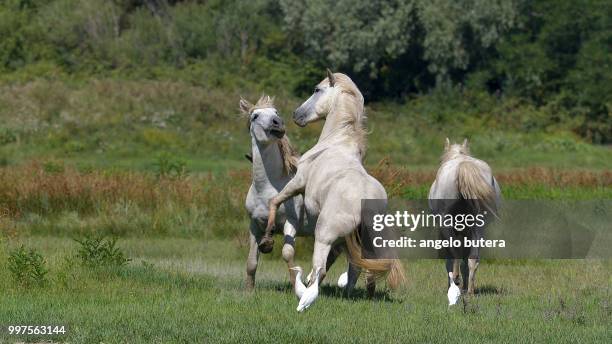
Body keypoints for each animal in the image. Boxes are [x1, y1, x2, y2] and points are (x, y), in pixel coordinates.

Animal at [243, 95, 346, 292]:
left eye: (275, 112)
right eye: (255, 116)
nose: (277, 123)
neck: (267, 188)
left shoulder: (290, 224)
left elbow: (287, 254)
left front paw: (296, 287)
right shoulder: (254, 225)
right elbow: (251, 261)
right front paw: (249, 291)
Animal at [260, 70, 404, 298]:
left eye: (317, 89)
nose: (296, 114)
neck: (337, 142)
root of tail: (365, 203)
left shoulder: (297, 183)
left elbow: (275, 201)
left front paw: (267, 239)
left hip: (324, 236)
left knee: (321, 265)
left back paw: (308, 292)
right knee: (358, 269)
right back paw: (354, 295)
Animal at [428, 138, 500, 294]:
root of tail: (463, 165)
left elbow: (450, 260)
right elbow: (465, 261)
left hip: (447, 224)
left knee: (455, 254)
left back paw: (456, 280)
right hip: (479, 226)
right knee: (473, 259)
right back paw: (470, 291)